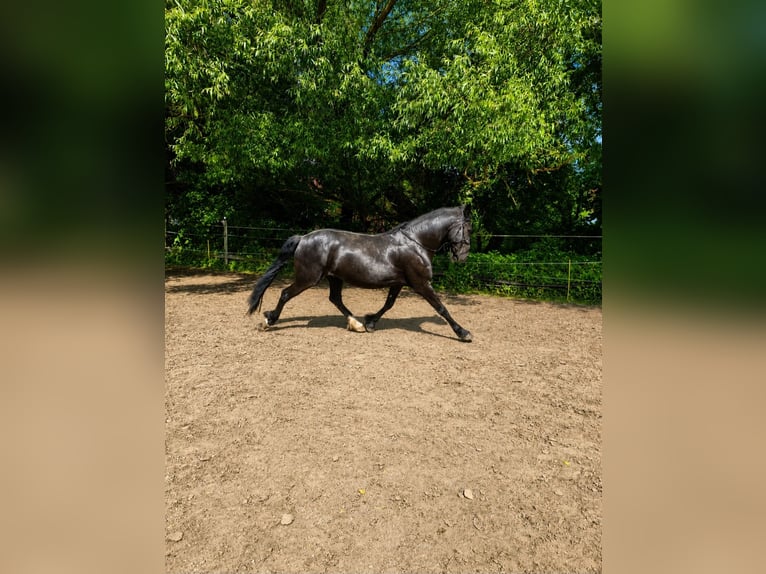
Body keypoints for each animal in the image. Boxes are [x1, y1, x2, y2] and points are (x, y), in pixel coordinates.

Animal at [246, 205, 473, 342]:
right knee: (285, 293)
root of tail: (303, 238)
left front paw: (370, 322)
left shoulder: (398, 283)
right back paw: (269, 321)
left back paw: (356, 324)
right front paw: (463, 333)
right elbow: (441, 308)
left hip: (334, 278)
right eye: (468, 228)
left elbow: (389, 304)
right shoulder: (421, 284)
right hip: (308, 278)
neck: (414, 243)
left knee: (335, 299)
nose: (462, 257)